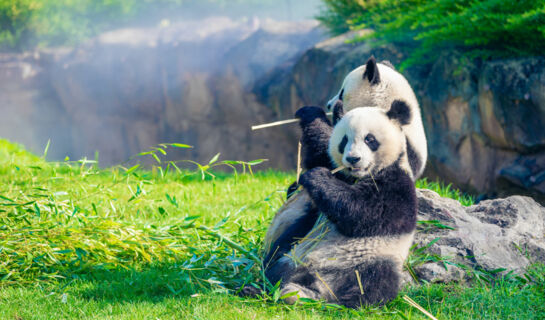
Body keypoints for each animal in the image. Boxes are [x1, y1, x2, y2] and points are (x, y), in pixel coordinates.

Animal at [262, 103, 414, 308]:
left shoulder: (397, 185)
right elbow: (320, 149)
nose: (353, 159)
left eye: (370, 139)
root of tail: (322, 285)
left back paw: (350, 301)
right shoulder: (335, 166)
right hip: (294, 254)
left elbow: (362, 213)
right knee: (276, 267)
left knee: (376, 280)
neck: (357, 177)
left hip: (372, 259)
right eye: (344, 140)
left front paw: (316, 177)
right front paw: (309, 113)